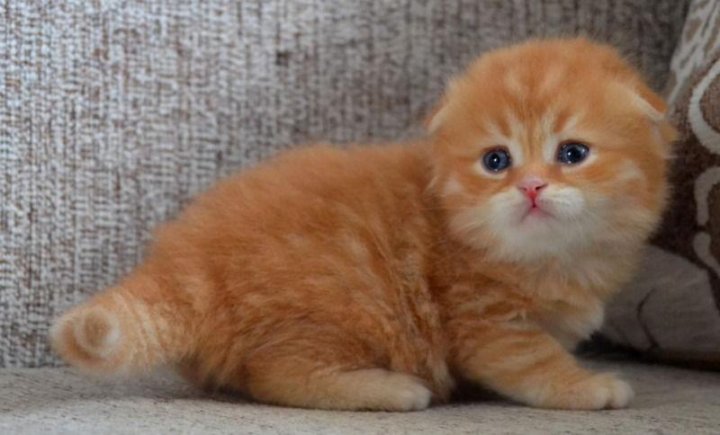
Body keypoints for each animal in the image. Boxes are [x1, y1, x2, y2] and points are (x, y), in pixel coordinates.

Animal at [50, 38, 676, 411]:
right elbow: (534, 363)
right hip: (341, 304)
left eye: (573, 154)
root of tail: (186, 262)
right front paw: (588, 386)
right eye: (496, 161)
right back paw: (393, 390)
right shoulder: (486, 322)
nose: (532, 186)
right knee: (278, 375)